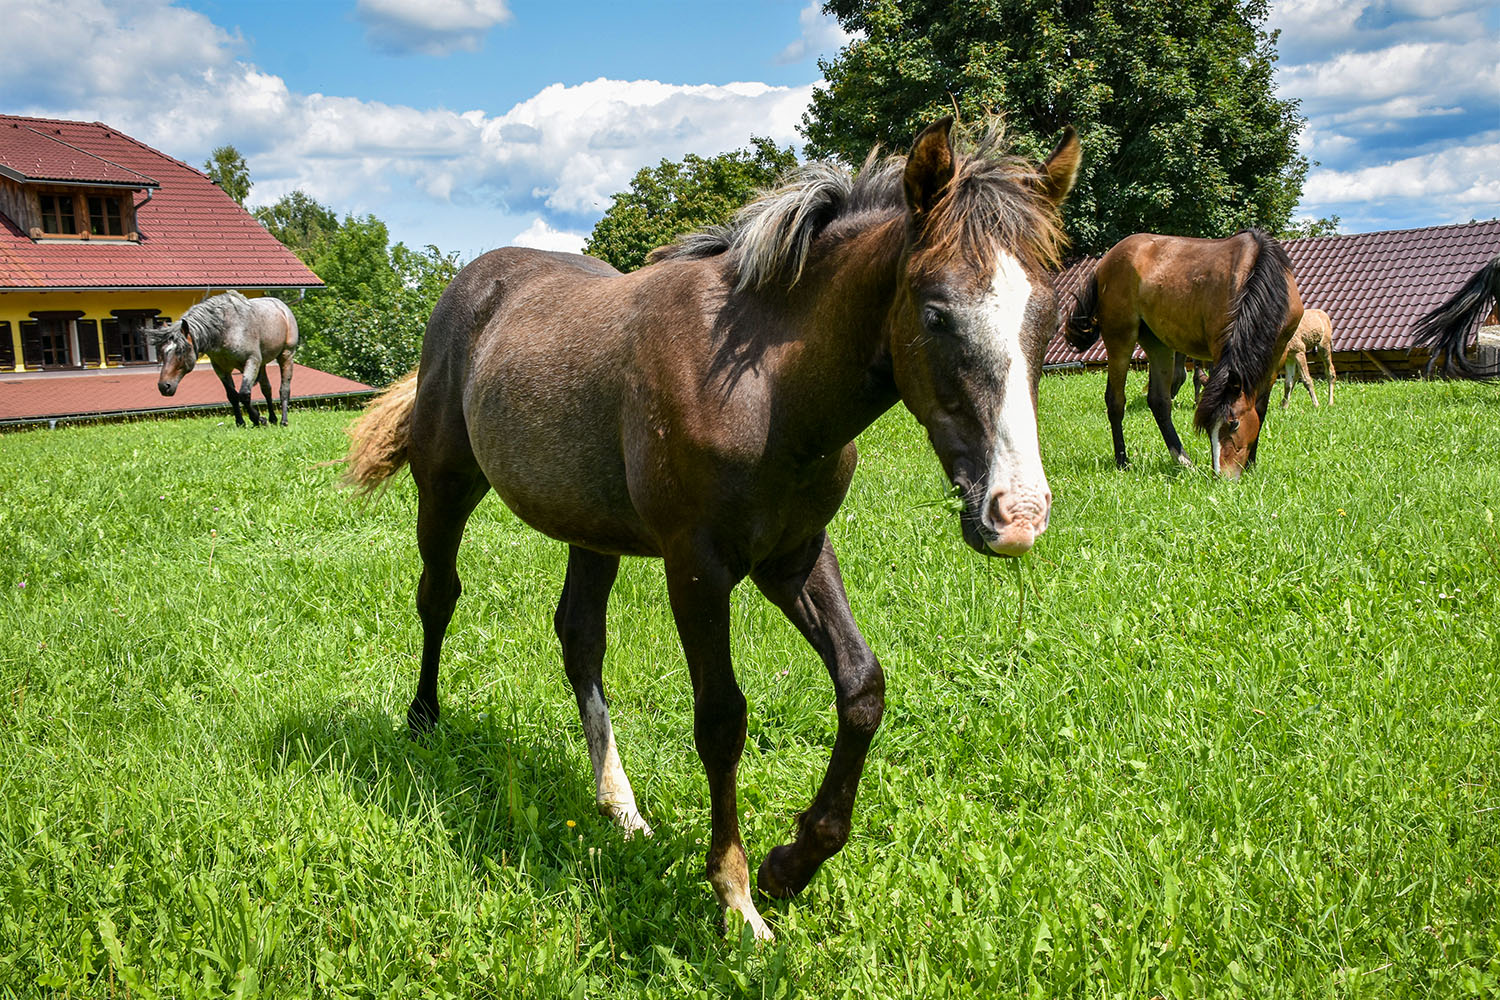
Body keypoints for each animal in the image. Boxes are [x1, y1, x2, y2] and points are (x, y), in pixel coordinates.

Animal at [153, 291, 300, 426]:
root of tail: (282, 307)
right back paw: (273, 419)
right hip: (262, 365)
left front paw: (258, 419)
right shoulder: (221, 368)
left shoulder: (251, 361)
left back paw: (283, 420)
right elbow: (233, 395)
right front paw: (241, 422)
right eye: (162, 352)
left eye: (181, 351)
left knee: (284, 389)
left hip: (286, 355)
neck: (225, 330)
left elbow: (244, 394)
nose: (163, 386)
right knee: (266, 389)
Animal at [340, 118, 1080, 941]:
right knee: (439, 595)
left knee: (579, 636)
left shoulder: (793, 555)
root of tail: (470, 283)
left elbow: (862, 687)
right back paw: (424, 721)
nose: (1017, 516)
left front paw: (792, 863)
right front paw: (736, 896)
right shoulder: (696, 567)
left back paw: (620, 806)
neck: (766, 391)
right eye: (936, 313)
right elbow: (722, 718)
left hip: (592, 531)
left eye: (1048, 316)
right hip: (445, 487)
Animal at [1064, 230, 1302, 478]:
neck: (1257, 269)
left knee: (1159, 401)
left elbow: (1260, 409)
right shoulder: (1220, 348)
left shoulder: (1277, 355)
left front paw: (1251, 464)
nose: (1222, 476)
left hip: (1158, 344)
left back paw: (1182, 460)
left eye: (1234, 423)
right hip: (1120, 338)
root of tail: (1104, 263)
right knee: (1115, 400)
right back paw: (1123, 461)